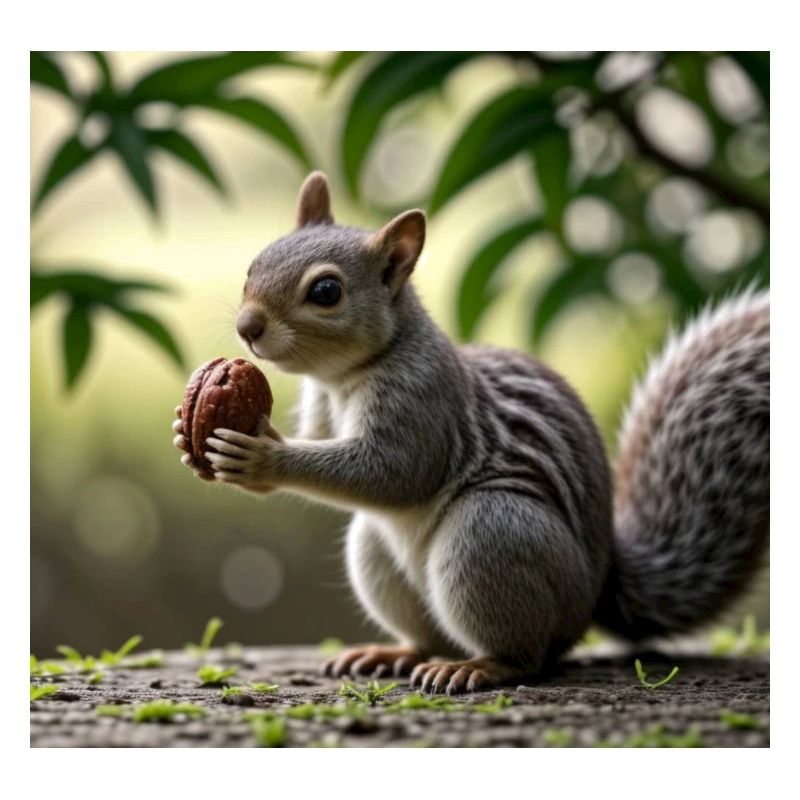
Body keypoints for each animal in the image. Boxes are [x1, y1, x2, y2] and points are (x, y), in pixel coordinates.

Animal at [173, 171, 770, 694]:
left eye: (325, 291)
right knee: (429, 635)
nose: (247, 327)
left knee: (529, 655)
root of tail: (595, 592)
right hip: (377, 552)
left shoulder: (423, 401)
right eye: (254, 264)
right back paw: (395, 653)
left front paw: (262, 458)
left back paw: (481, 667)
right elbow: (325, 440)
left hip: (490, 533)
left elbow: (392, 472)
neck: (346, 376)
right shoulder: (323, 406)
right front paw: (188, 431)